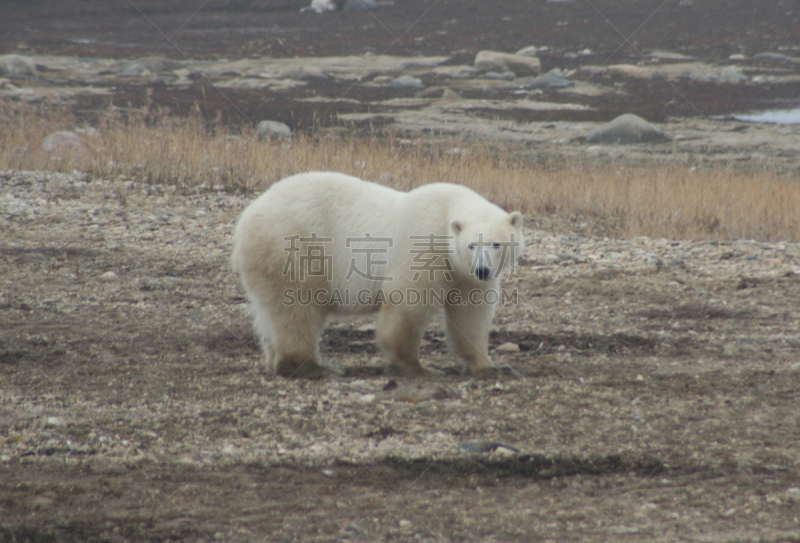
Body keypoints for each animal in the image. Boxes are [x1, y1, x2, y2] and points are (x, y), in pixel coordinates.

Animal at [230, 172, 524, 380]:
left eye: (496, 244)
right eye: (472, 245)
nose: (483, 269)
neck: (446, 210)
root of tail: (246, 218)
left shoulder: (464, 275)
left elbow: (471, 313)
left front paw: (490, 366)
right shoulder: (423, 246)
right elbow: (408, 302)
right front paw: (417, 367)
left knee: (271, 311)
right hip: (296, 247)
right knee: (296, 309)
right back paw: (314, 367)